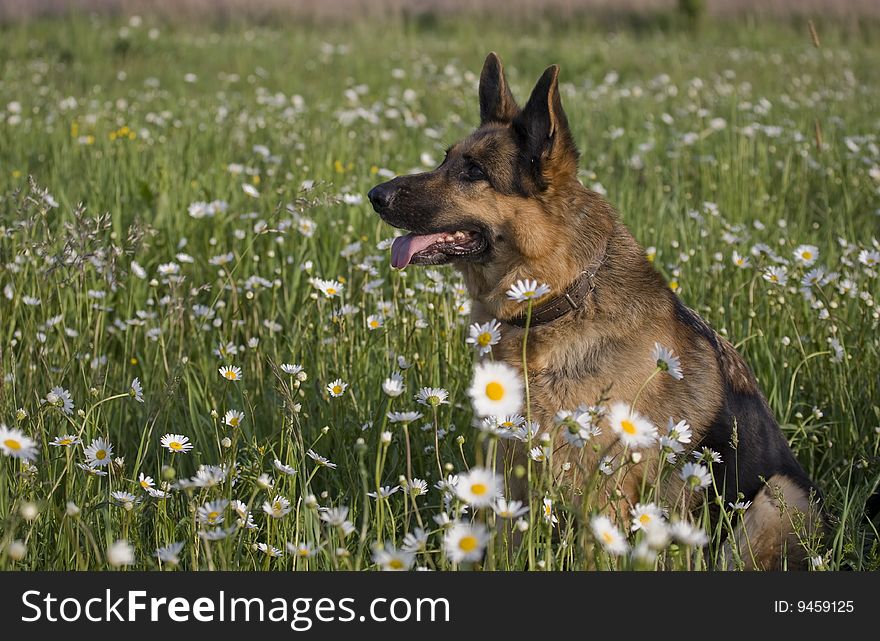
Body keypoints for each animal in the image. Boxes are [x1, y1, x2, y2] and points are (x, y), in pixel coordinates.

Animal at [368, 52, 820, 568]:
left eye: (474, 172)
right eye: (445, 159)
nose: (375, 195)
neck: (560, 301)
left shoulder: (605, 495)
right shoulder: (511, 473)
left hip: (776, 500)